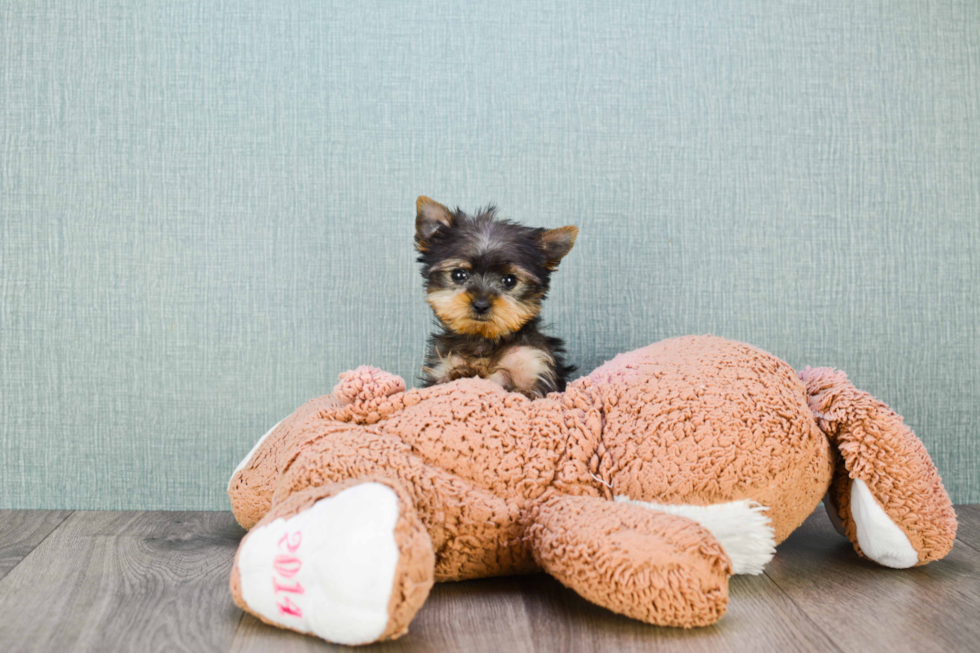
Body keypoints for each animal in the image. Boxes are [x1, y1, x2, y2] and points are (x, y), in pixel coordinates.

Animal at [414, 195, 576, 398]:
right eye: (458, 274)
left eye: (509, 280)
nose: (481, 304)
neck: (484, 340)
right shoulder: (443, 365)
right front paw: (461, 373)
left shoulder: (534, 363)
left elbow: (526, 393)